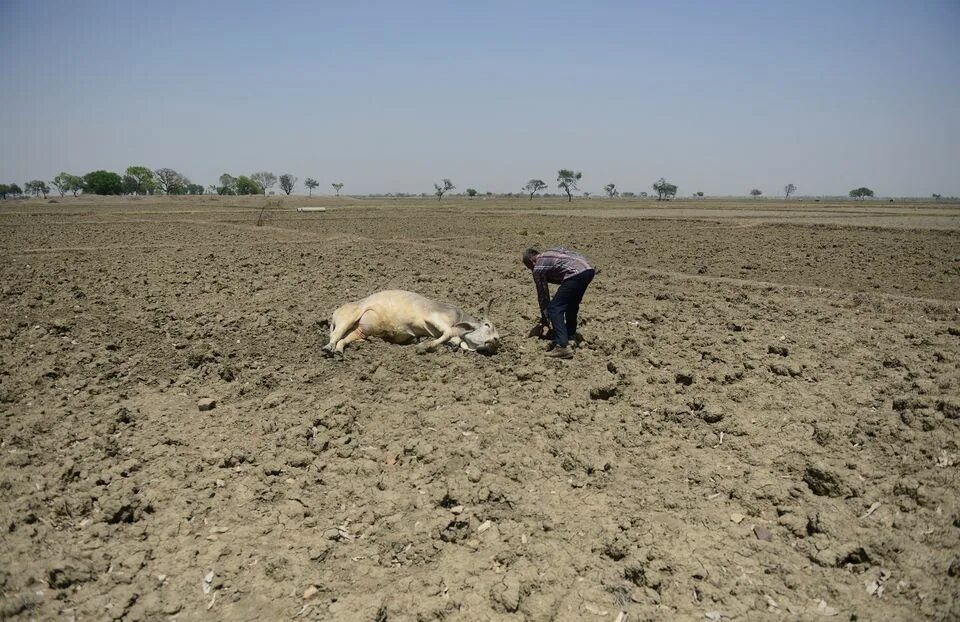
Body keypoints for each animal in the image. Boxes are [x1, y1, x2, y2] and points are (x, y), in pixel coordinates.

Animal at [322, 292, 502, 358]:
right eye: (487, 325)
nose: (496, 341)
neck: (459, 317)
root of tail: (338, 309)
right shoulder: (434, 318)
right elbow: (448, 333)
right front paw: (424, 346)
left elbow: (453, 338)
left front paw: (453, 345)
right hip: (349, 317)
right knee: (335, 335)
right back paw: (329, 348)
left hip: (359, 331)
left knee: (343, 339)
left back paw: (339, 351)